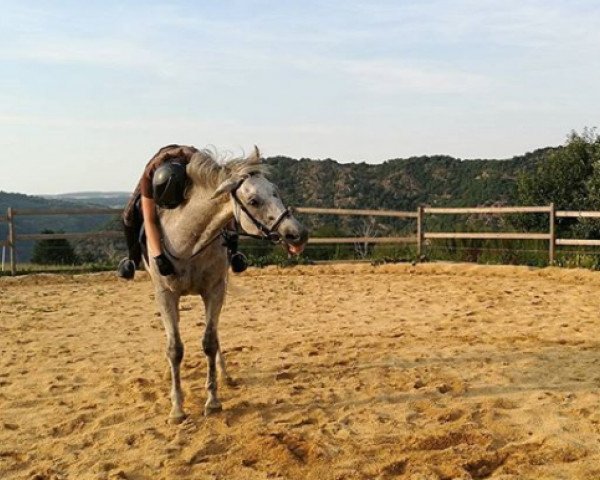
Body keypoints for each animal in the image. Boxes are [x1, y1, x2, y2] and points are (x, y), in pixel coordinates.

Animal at [144, 148, 304, 422]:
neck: (188, 243)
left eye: (275, 191)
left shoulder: (215, 290)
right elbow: (175, 348)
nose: (298, 234)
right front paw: (177, 408)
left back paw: (224, 374)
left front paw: (213, 400)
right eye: (253, 201)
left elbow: (209, 342)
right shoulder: (166, 295)